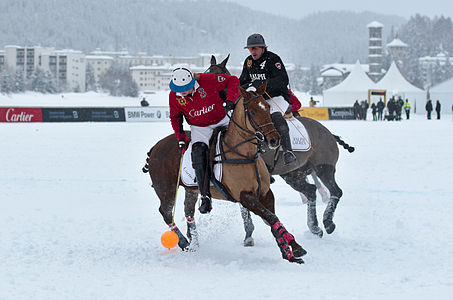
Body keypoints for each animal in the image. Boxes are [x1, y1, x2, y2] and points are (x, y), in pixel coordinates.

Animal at [144, 81, 308, 262]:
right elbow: (270, 217)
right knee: (166, 212)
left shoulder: (265, 192)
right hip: (166, 188)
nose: (274, 139)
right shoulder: (244, 196)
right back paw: (184, 243)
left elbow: (271, 218)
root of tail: (155, 148)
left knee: (188, 210)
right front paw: (292, 249)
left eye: (267, 107)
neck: (246, 154)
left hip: (190, 189)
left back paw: (194, 243)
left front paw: (290, 249)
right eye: (252, 111)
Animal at [207, 55, 354, 244]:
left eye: (216, 77)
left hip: (324, 167)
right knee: (311, 191)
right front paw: (249, 234)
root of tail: (329, 133)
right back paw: (314, 227)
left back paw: (328, 222)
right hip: (293, 174)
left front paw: (252, 232)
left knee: (335, 191)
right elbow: (244, 204)